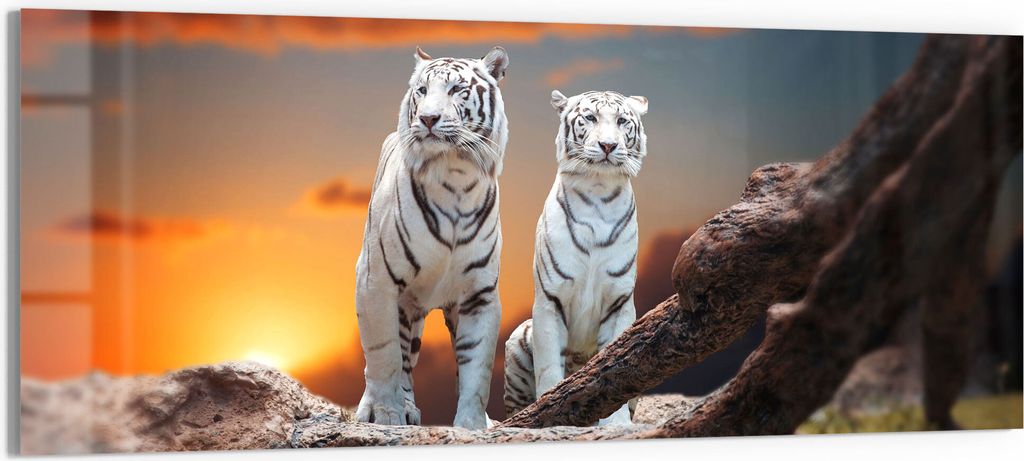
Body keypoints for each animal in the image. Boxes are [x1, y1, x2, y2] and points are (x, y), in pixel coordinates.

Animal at [354, 46, 509, 429]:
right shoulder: (375, 281)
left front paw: (472, 425)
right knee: (398, 359)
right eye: (422, 91)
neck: (455, 174)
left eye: (457, 90)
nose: (427, 119)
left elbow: (477, 368)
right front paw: (385, 414)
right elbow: (383, 356)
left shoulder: (479, 294)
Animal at [504, 90, 648, 425]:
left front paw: (616, 424)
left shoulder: (620, 301)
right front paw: (547, 412)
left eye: (622, 121)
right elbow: (548, 368)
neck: (598, 190)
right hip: (518, 339)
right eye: (590, 118)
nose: (608, 145)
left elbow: (617, 365)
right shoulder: (549, 299)